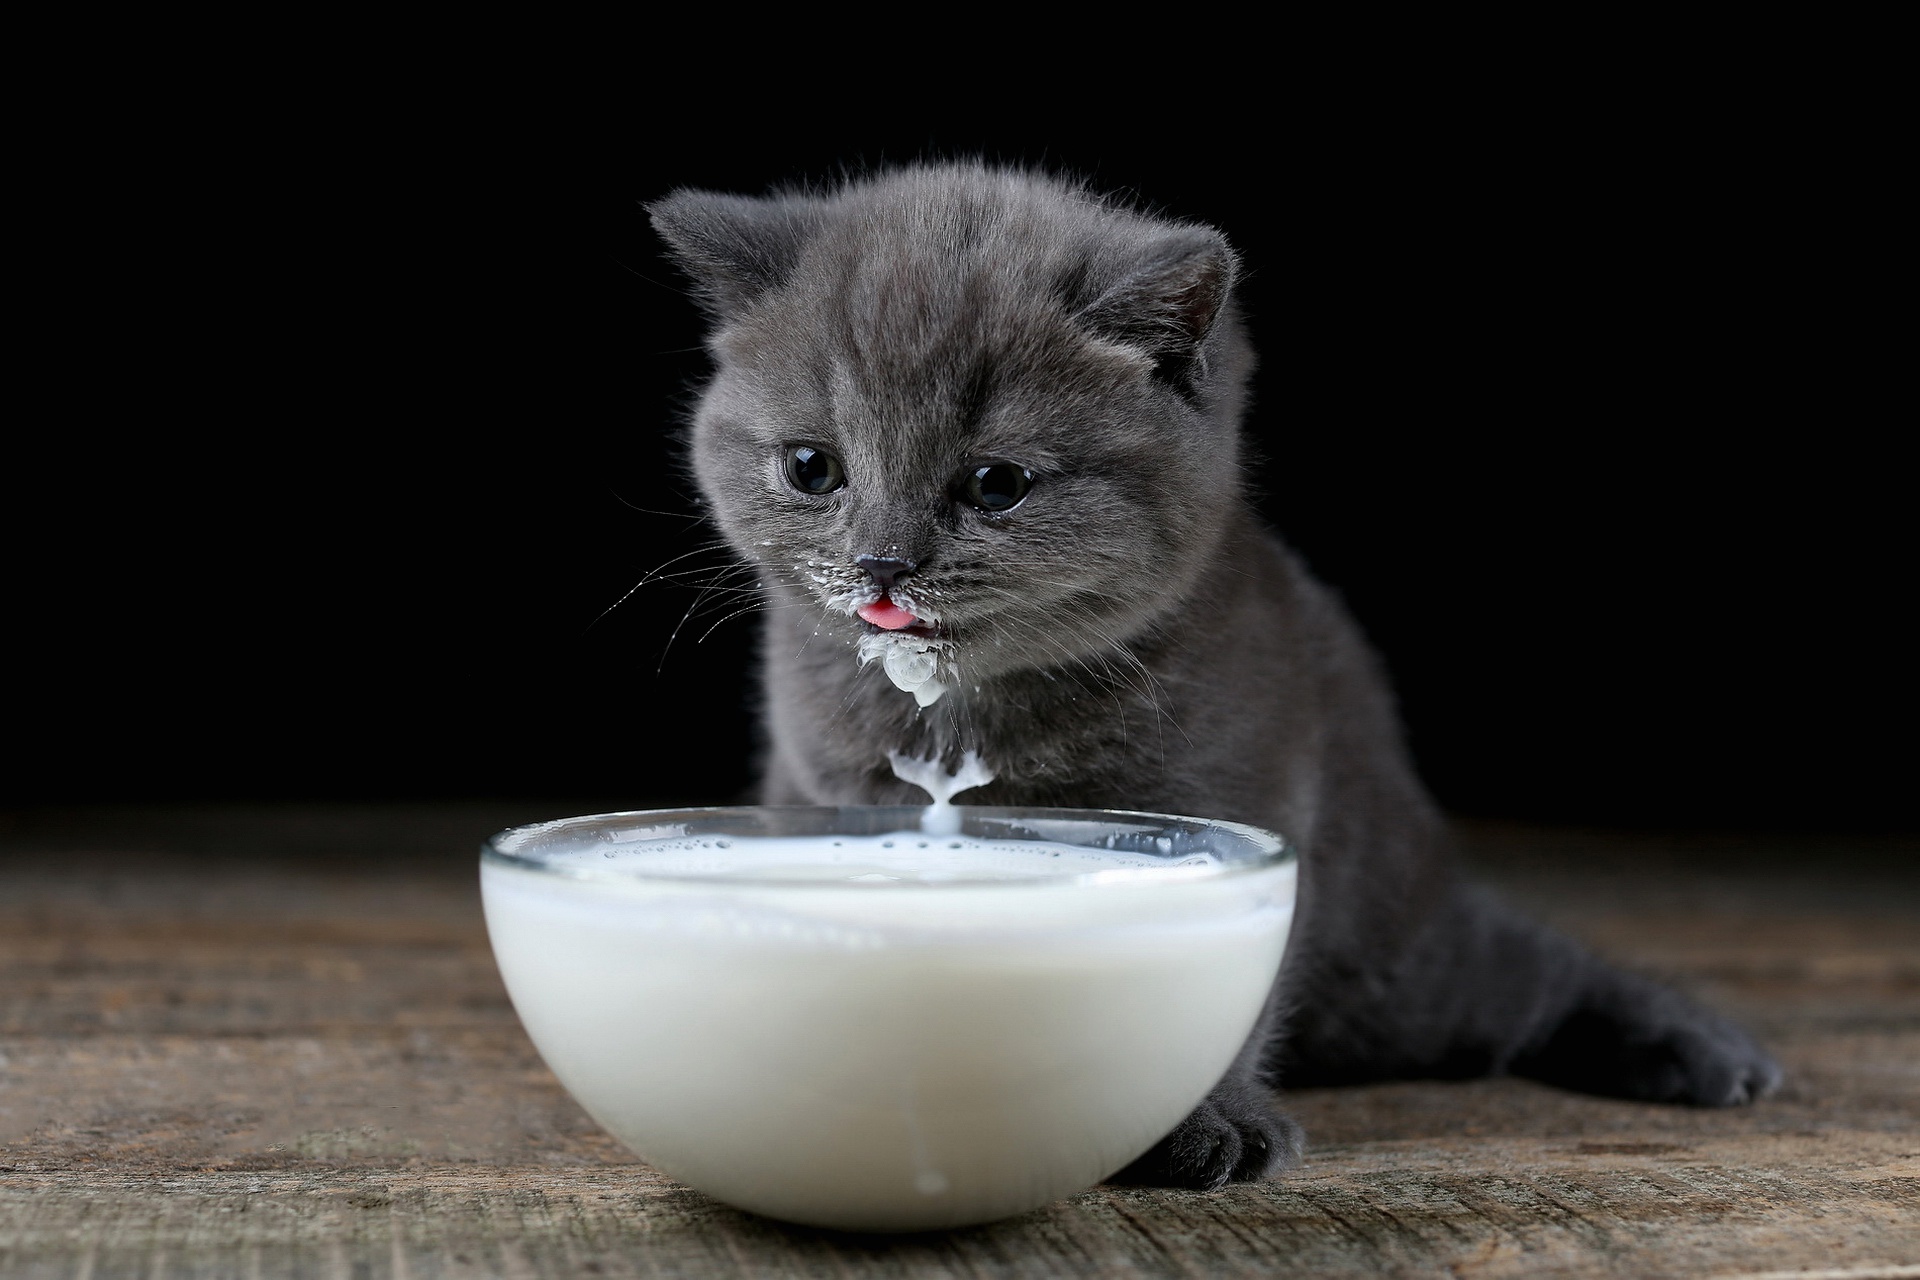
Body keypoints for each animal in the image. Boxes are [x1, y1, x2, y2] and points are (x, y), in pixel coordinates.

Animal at [648, 163, 1781, 1189]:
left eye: (997, 484)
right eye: (812, 467)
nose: (882, 564)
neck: (968, 706)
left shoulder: (1240, 793)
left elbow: (1223, 981)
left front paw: (1200, 1123)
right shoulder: (821, 784)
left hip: (1395, 969)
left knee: (1526, 973)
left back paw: (1702, 1049)